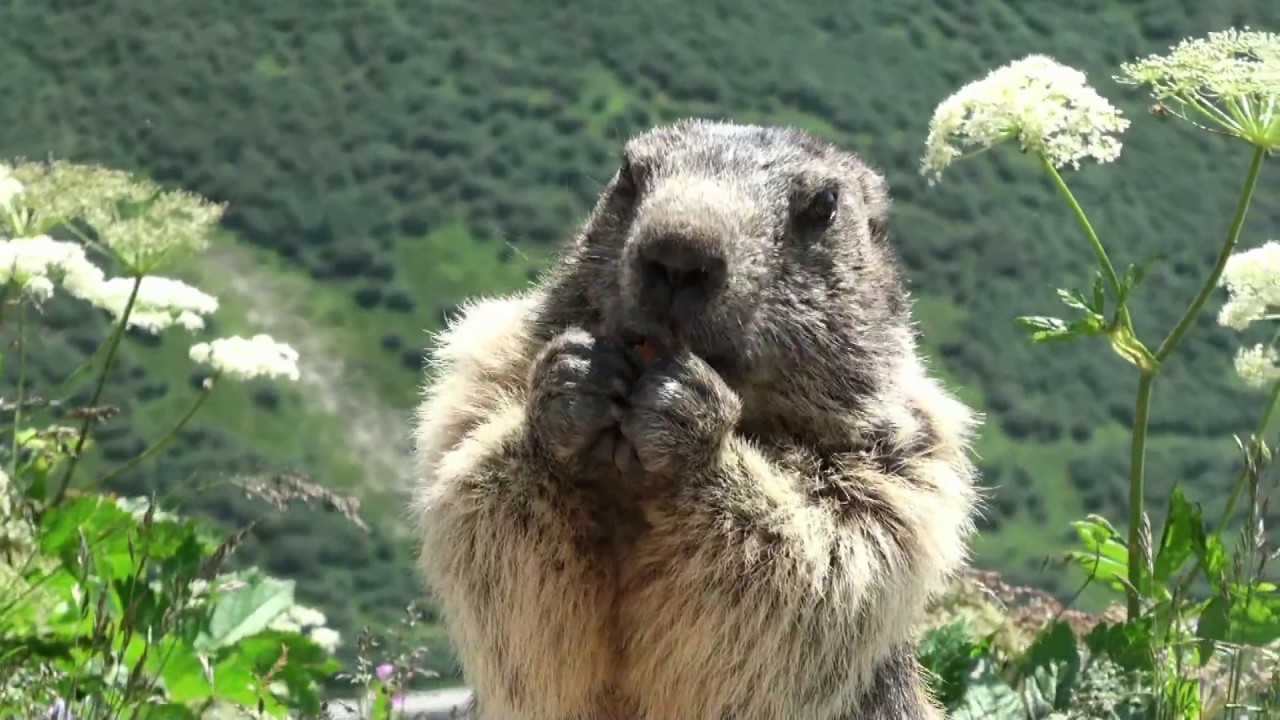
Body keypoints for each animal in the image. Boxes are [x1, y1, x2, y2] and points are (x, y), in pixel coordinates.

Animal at [410, 119, 980, 719]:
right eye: (628, 173)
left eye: (823, 205)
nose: (679, 250)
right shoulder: (479, 381)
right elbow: (476, 509)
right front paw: (570, 387)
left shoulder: (902, 474)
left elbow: (820, 565)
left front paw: (690, 421)